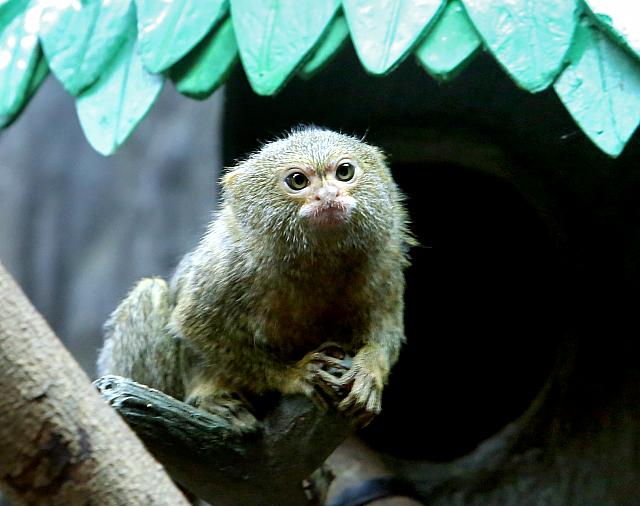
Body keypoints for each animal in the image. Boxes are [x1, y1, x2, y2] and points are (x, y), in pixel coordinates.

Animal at [97, 126, 412, 430]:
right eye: (298, 180)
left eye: (344, 172)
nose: (328, 196)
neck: (319, 260)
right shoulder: (227, 265)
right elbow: (195, 325)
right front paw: (293, 374)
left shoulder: (385, 257)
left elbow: (386, 324)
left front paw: (369, 368)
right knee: (151, 293)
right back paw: (209, 397)